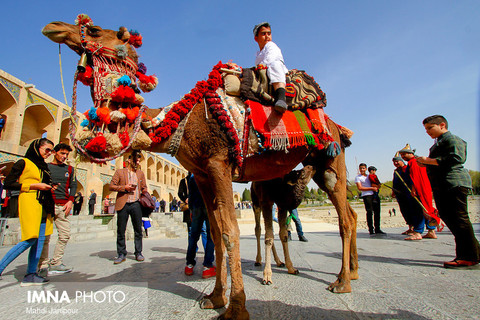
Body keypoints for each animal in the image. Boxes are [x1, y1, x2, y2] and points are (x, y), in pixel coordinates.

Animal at [42, 17, 356, 320]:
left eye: (94, 29)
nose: (53, 27)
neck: (180, 121)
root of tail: (337, 126)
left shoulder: (219, 165)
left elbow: (230, 232)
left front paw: (236, 309)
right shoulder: (203, 175)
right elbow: (215, 235)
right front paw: (215, 298)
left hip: (329, 158)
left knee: (345, 218)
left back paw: (341, 282)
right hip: (316, 166)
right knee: (349, 214)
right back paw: (351, 272)